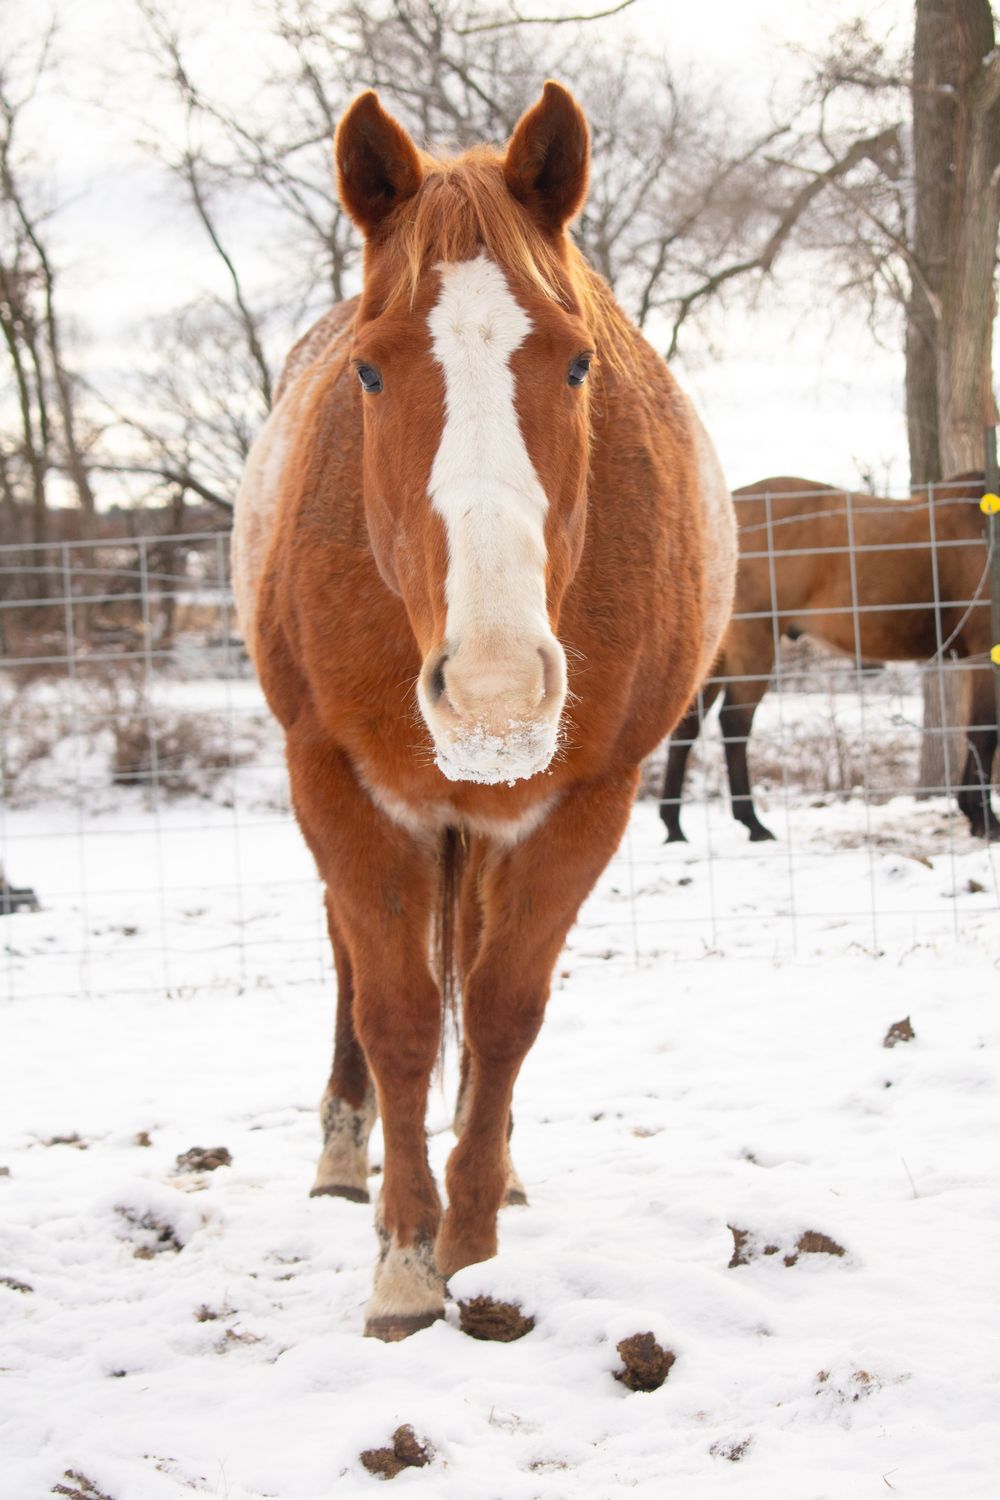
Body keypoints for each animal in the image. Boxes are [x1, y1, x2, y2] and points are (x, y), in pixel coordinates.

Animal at [233, 82, 736, 1340]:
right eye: (369, 372)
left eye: (575, 363)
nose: (496, 691)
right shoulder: (340, 787)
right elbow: (400, 1017)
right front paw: (406, 1264)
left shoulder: (586, 802)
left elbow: (503, 1013)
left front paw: (471, 1239)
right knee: (361, 973)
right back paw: (344, 1156)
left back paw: (493, 1164)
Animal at [660, 474, 998, 844]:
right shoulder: (985, 650)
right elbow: (985, 730)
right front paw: (986, 821)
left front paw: (973, 813)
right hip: (753, 646)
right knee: (735, 724)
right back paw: (753, 824)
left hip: (714, 656)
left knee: (687, 725)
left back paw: (674, 828)